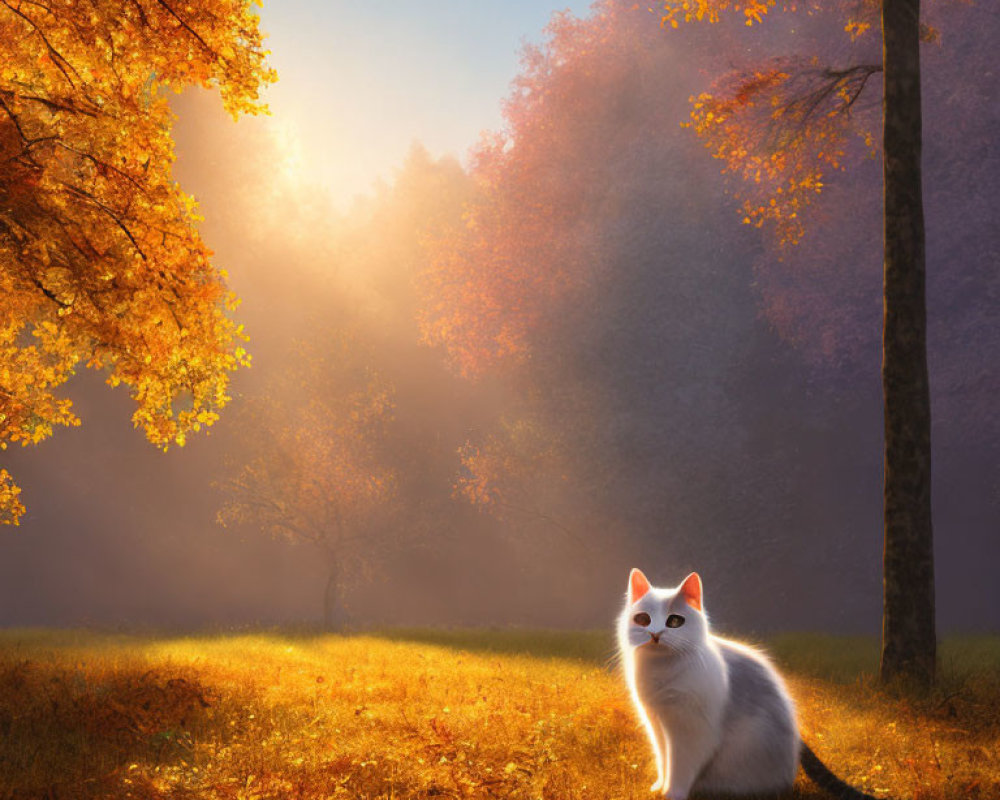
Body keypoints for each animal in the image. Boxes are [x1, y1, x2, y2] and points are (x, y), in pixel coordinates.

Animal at [616, 568, 884, 800]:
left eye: (674, 621)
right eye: (643, 619)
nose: (655, 634)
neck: (660, 669)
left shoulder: (690, 730)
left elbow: (680, 765)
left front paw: (673, 794)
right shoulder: (656, 722)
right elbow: (663, 758)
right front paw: (659, 788)